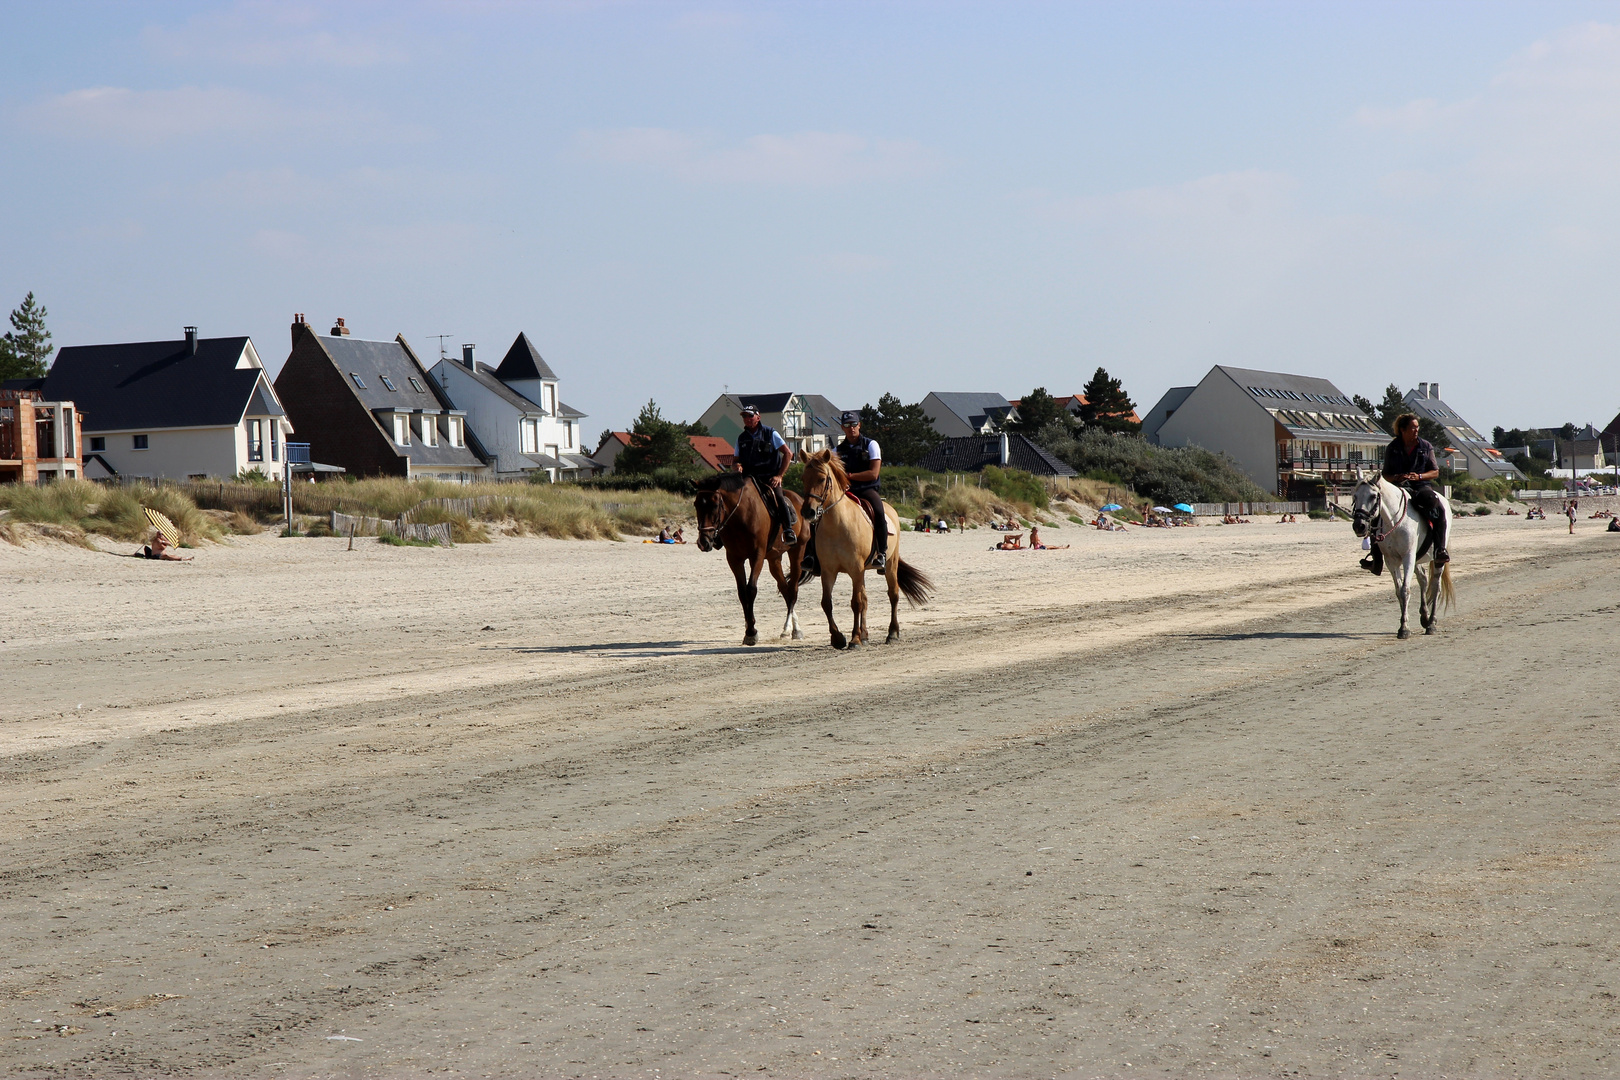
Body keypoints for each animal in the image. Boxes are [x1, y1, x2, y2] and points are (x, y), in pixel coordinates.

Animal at [693, 469, 806, 641]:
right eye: (696, 504)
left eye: (715, 505)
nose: (703, 542)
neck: (740, 516)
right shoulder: (734, 559)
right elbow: (742, 592)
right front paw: (749, 629)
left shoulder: (757, 556)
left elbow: (751, 589)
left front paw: (751, 632)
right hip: (774, 559)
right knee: (784, 588)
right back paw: (791, 628)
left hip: (797, 552)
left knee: (792, 590)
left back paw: (791, 629)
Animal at [800, 450, 939, 650]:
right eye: (803, 478)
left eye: (821, 478)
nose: (808, 512)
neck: (837, 524)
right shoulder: (828, 571)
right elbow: (827, 603)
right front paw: (838, 638)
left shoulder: (855, 569)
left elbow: (856, 603)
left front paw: (855, 639)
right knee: (865, 599)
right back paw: (865, 635)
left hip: (890, 565)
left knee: (893, 595)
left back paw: (892, 633)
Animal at [1347, 469, 1464, 637]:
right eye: (1355, 496)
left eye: (1373, 496)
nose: (1359, 526)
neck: (1394, 521)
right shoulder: (1391, 561)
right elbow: (1398, 591)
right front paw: (1404, 623)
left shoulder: (1408, 556)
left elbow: (1405, 590)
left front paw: (1404, 629)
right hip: (1416, 559)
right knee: (1423, 579)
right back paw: (1425, 617)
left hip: (1436, 559)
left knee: (1435, 587)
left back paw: (1431, 623)